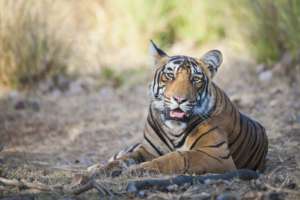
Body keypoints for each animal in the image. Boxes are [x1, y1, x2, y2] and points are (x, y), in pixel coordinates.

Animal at [88, 41, 268, 177]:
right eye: (170, 75)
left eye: (195, 79)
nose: (180, 99)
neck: (173, 130)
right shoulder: (147, 150)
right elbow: (122, 160)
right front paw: (98, 172)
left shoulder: (217, 155)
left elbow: (176, 158)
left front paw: (136, 170)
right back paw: (93, 167)